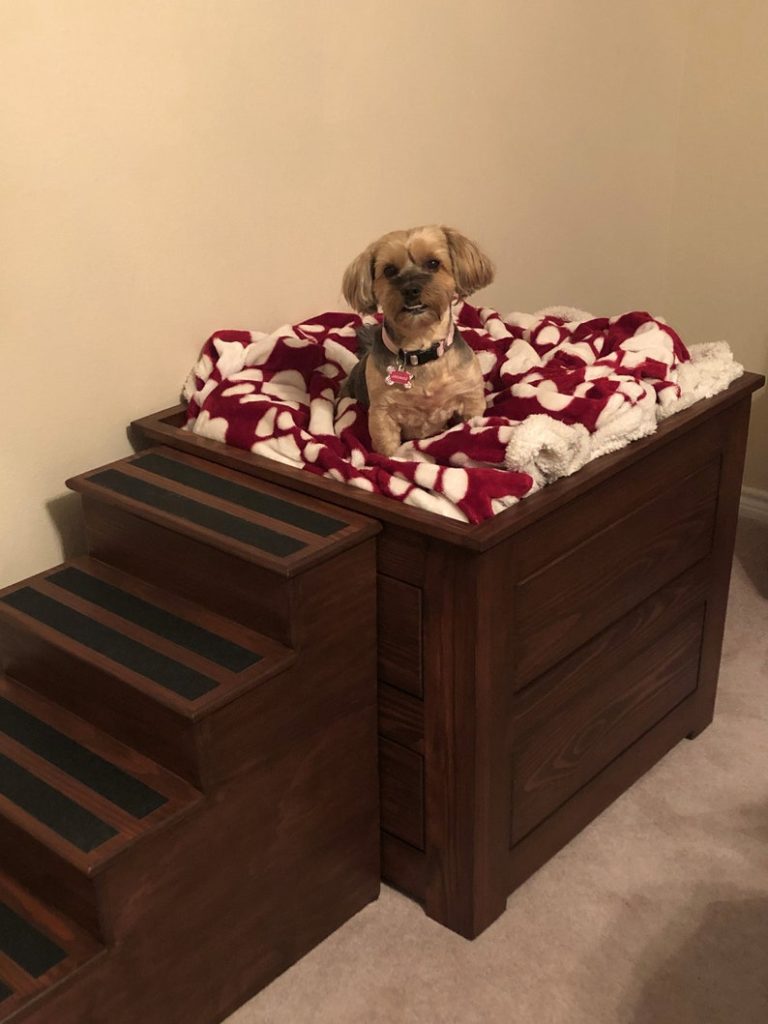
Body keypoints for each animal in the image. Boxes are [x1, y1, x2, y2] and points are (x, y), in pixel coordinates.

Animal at [342, 224, 495, 456]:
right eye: (389, 270)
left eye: (433, 263)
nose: (410, 289)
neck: (420, 347)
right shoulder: (382, 414)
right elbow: (387, 450)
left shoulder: (471, 399)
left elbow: (471, 422)